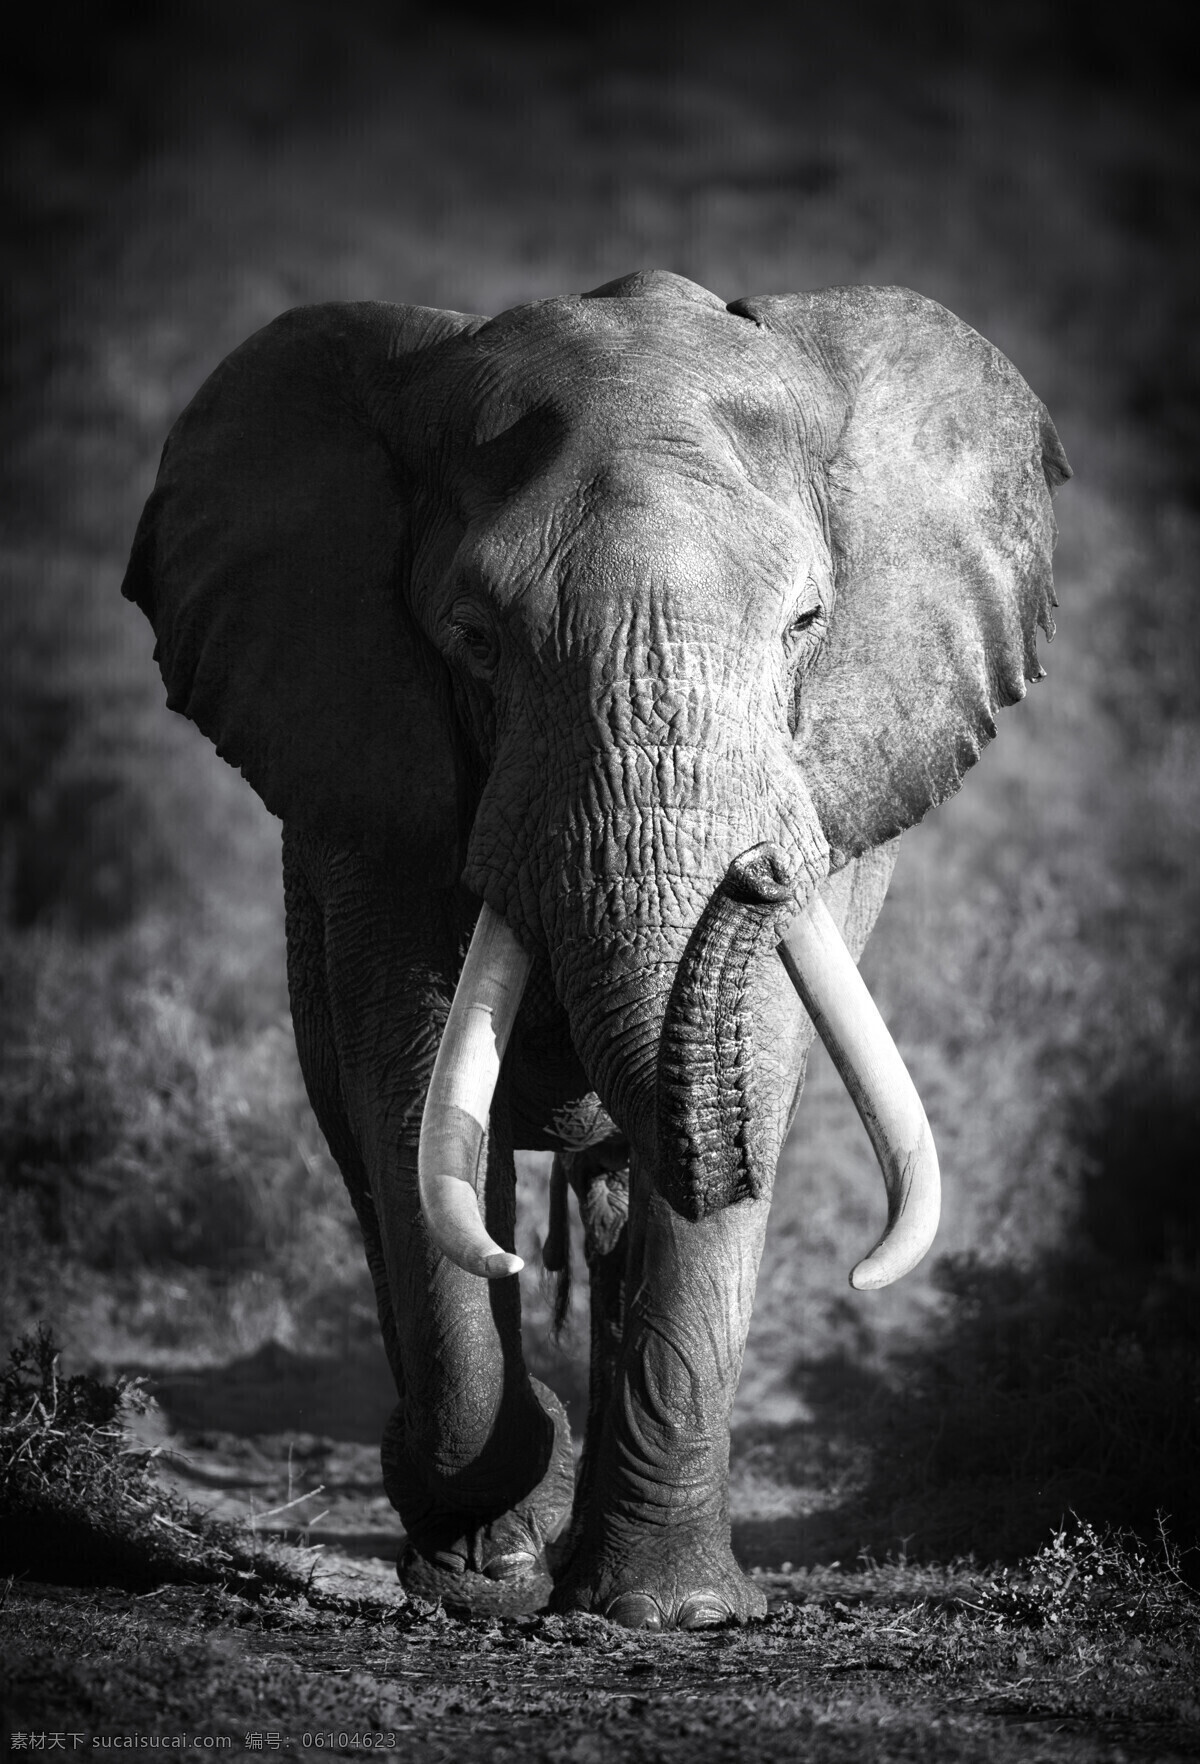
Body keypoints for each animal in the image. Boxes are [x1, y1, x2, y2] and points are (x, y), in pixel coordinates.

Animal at [121, 268, 1065, 1629]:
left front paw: (672, 1614)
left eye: (807, 624)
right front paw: (485, 1564)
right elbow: (411, 1091)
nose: (758, 871)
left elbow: (756, 1071)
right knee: (370, 1155)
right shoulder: (372, 787)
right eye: (474, 638)